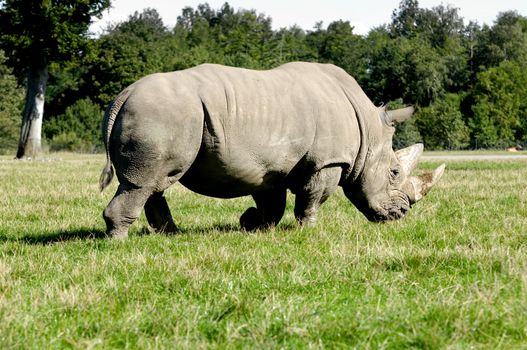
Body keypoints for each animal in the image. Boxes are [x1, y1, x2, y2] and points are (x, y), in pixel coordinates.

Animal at [99, 62, 446, 238]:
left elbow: (273, 202)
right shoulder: (327, 162)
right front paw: (308, 231)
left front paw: (254, 225)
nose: (401, 213)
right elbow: (312, 197)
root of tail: (123, 95)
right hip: (162, 113)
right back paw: (121, 241)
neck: (369, 130)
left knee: (156, 182)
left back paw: (170, 235)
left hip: (166, 114)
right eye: (394, 172)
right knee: (145, 182)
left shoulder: (271, 166)